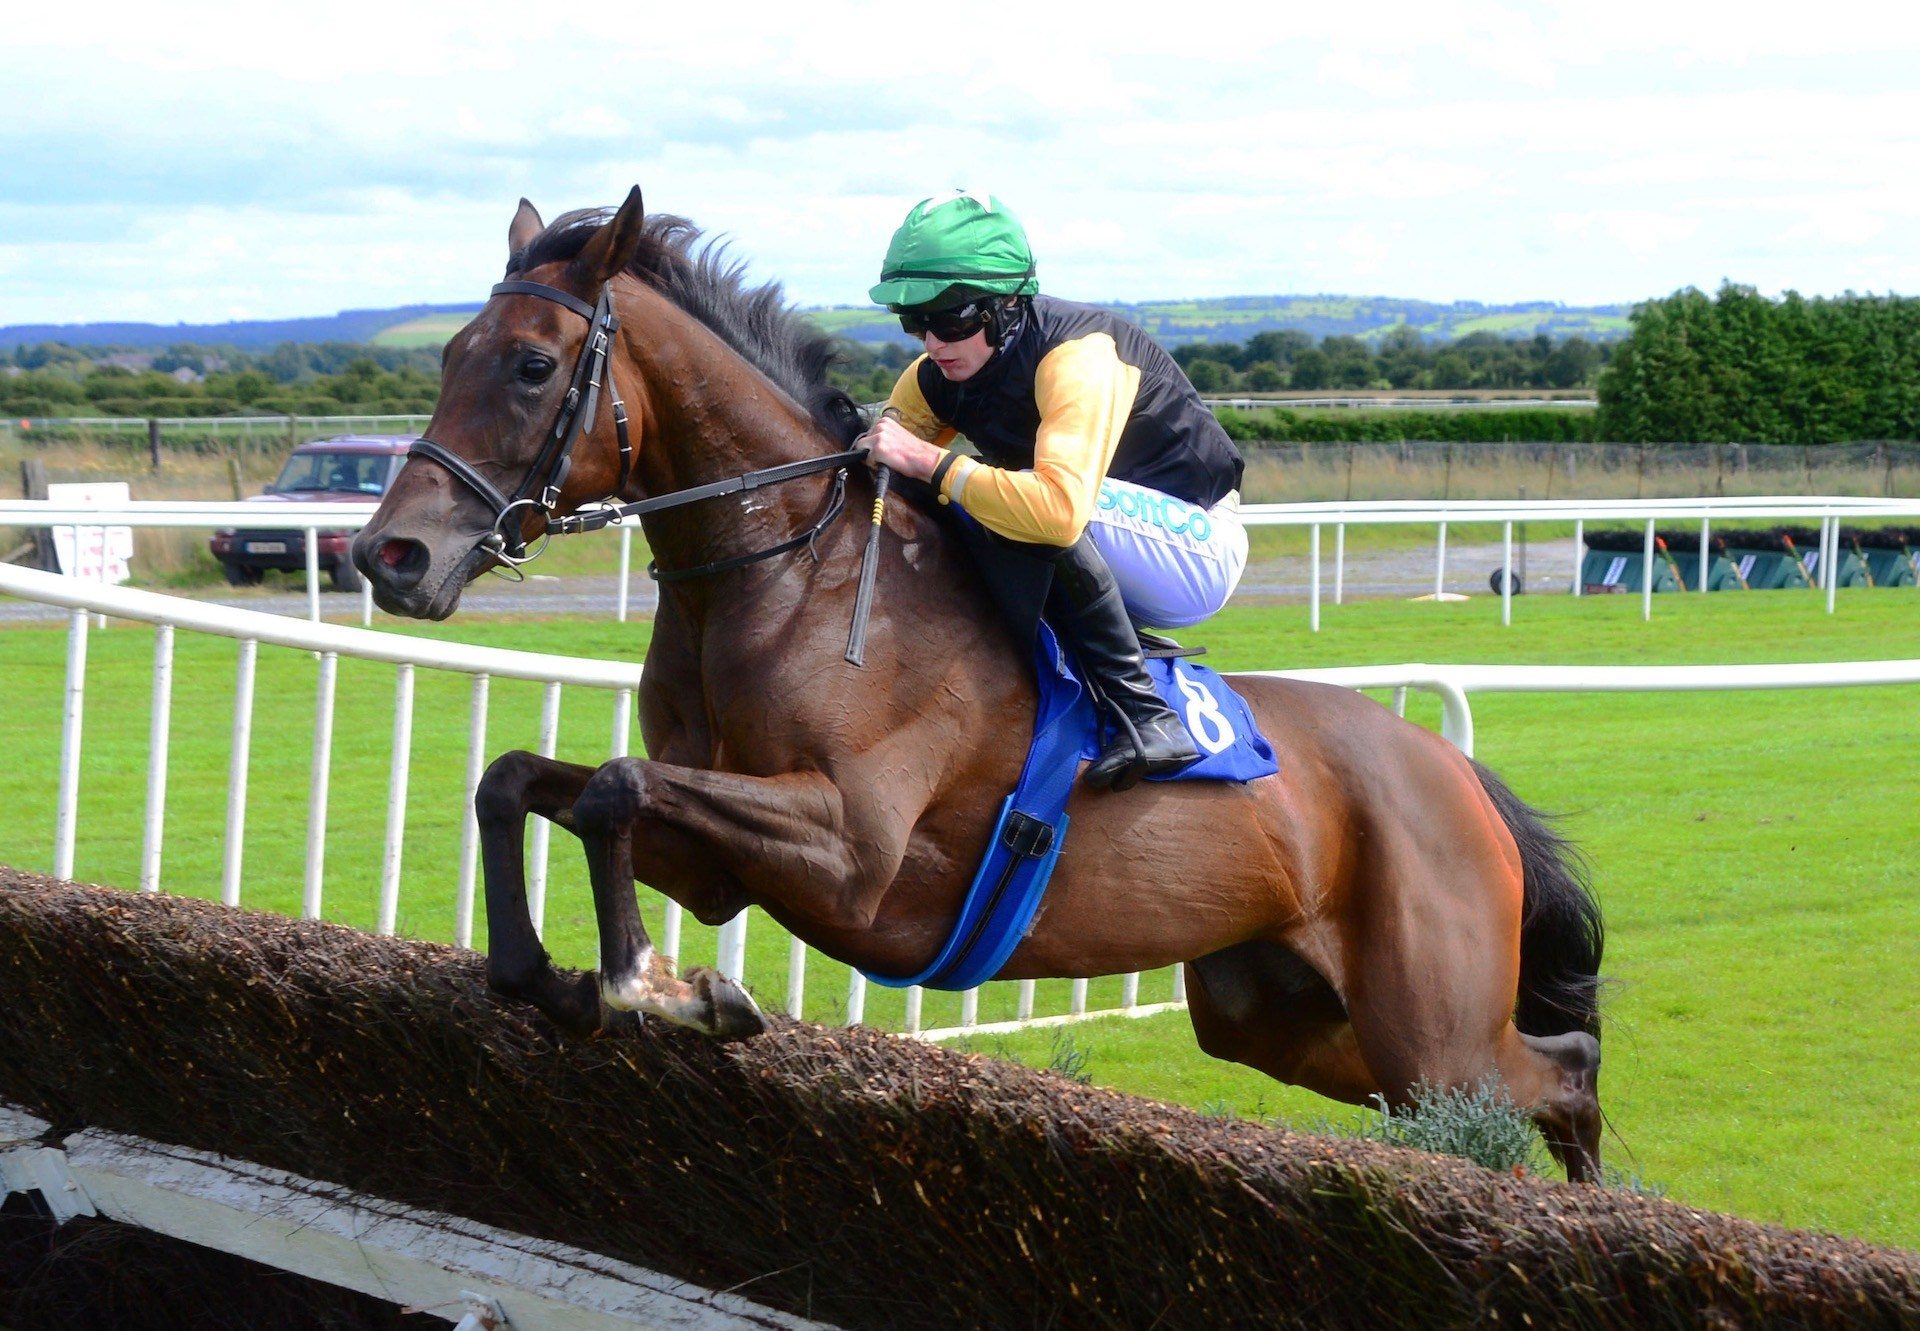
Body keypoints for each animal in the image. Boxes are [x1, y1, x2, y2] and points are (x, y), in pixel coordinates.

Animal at [349, 187, 1605, 1175]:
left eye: (531, 365)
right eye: (448, 354)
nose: (389, 555)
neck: (789, 573)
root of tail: (1458, 775)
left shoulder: (850, 848)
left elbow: (612, 785)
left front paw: (651, 984)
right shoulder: (716, 856)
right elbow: (526, 780)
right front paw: (563, 976)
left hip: (1427, 1025)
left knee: (1555, 1071)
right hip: (1280, 1015)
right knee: (1547, 1068)